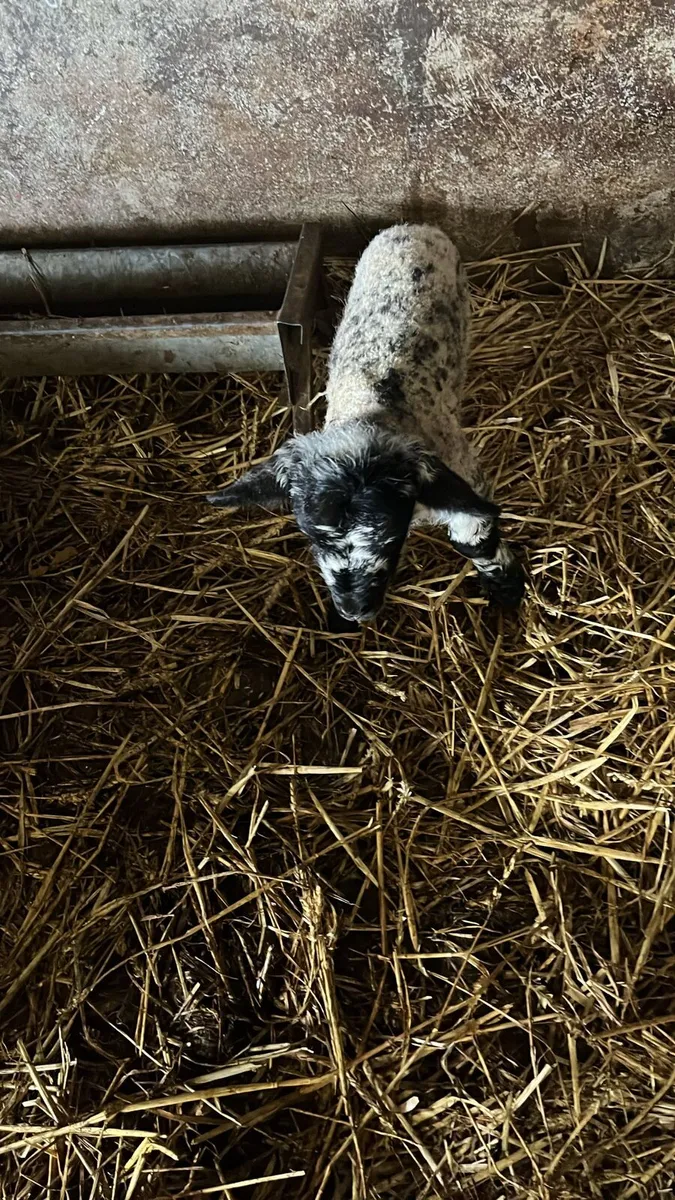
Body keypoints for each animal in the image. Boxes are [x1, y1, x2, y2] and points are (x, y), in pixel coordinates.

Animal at [207, 224, 524, 625]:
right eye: (314, 538)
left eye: (388, 539)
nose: (354, 611)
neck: (370, 408)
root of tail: (411, 227)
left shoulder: (461, 473)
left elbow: (476, 539)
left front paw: (507, 588)